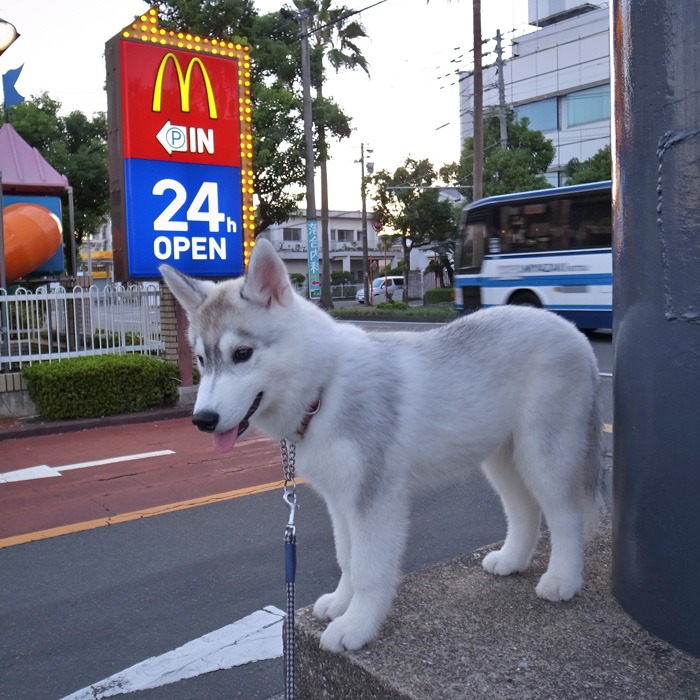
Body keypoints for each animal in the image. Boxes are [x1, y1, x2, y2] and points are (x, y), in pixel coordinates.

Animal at [161, 239, 604, 652]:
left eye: (242, 354)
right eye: (201, 360)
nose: (203, 420)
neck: (323, 389)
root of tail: (572, 331)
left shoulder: (373, 498)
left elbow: (369, 570)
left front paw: (357, 626)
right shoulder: (340, 499)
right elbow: (347, 558)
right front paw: (341, 604)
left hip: (545, 454)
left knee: (565, 516)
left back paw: (562, 579)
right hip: (502, 457)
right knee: (524, 509)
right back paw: (511, 561)